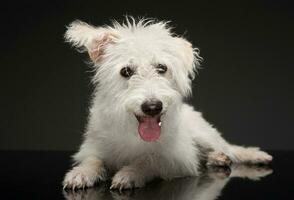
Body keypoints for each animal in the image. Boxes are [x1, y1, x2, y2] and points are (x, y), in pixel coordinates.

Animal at [62, 17, 274, 191]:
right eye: (126, 71)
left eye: (162, 68)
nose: (152, 107)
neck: (133, 131)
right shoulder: (93, 147)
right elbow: (93, 160)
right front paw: (81, 173)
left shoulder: (177, 159)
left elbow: (149, 160)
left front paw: (130, 173)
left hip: (204, 134)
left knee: (228, 148)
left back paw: (239, 155)